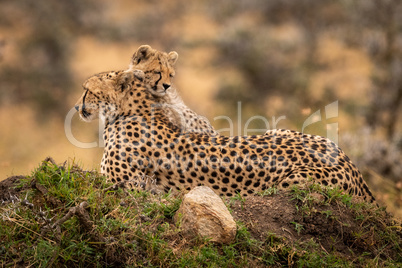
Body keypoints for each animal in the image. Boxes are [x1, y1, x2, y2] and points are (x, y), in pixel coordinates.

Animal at [74, 48, 376, 203]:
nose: (77, 107)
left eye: (87, 90)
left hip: (293, 183)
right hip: (282, 132)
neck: (134, 108)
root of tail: (352, 167)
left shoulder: (124, 183)